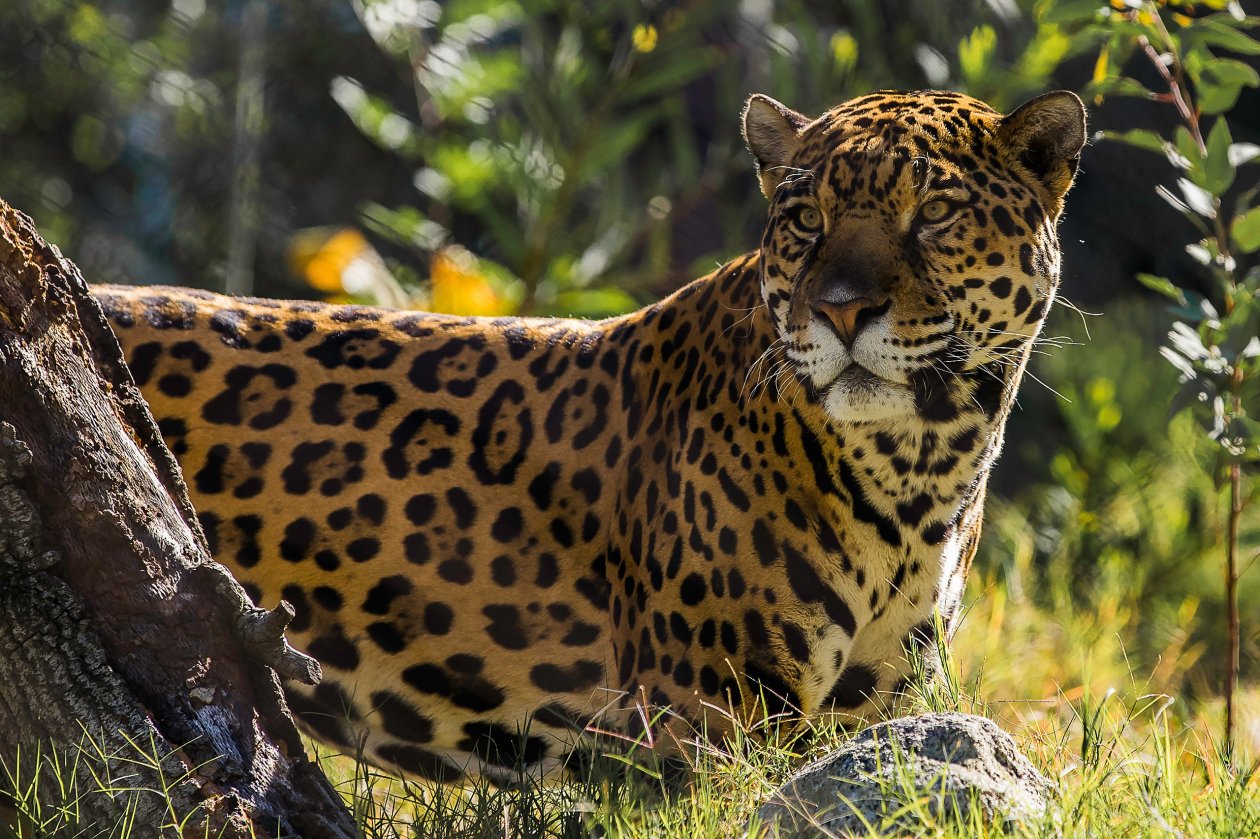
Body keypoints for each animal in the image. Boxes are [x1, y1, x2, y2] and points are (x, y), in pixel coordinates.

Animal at [92, 88, 1086, 784]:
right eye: (807, 221)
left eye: (936, 214)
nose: (841, 310)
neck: (917, 468)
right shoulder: (704, 721)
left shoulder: (868, 717)